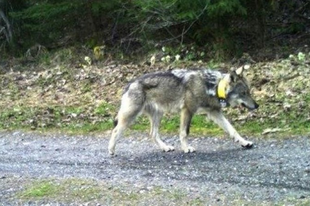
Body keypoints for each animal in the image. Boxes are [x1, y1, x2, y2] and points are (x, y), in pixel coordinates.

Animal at [108, 66, 258, 154]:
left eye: (249, 92)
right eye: (243, 93)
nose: (257, 106)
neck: (212, 87)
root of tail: (130, 84)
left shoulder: (214, 113)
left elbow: (232, 130)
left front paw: (244, 142)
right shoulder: (187, 110)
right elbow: (184, 133)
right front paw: (186, 148)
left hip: (158, 115)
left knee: (152, 134)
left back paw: (165, 147)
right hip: (131, 116)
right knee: (115, 130)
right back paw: (111, 150)